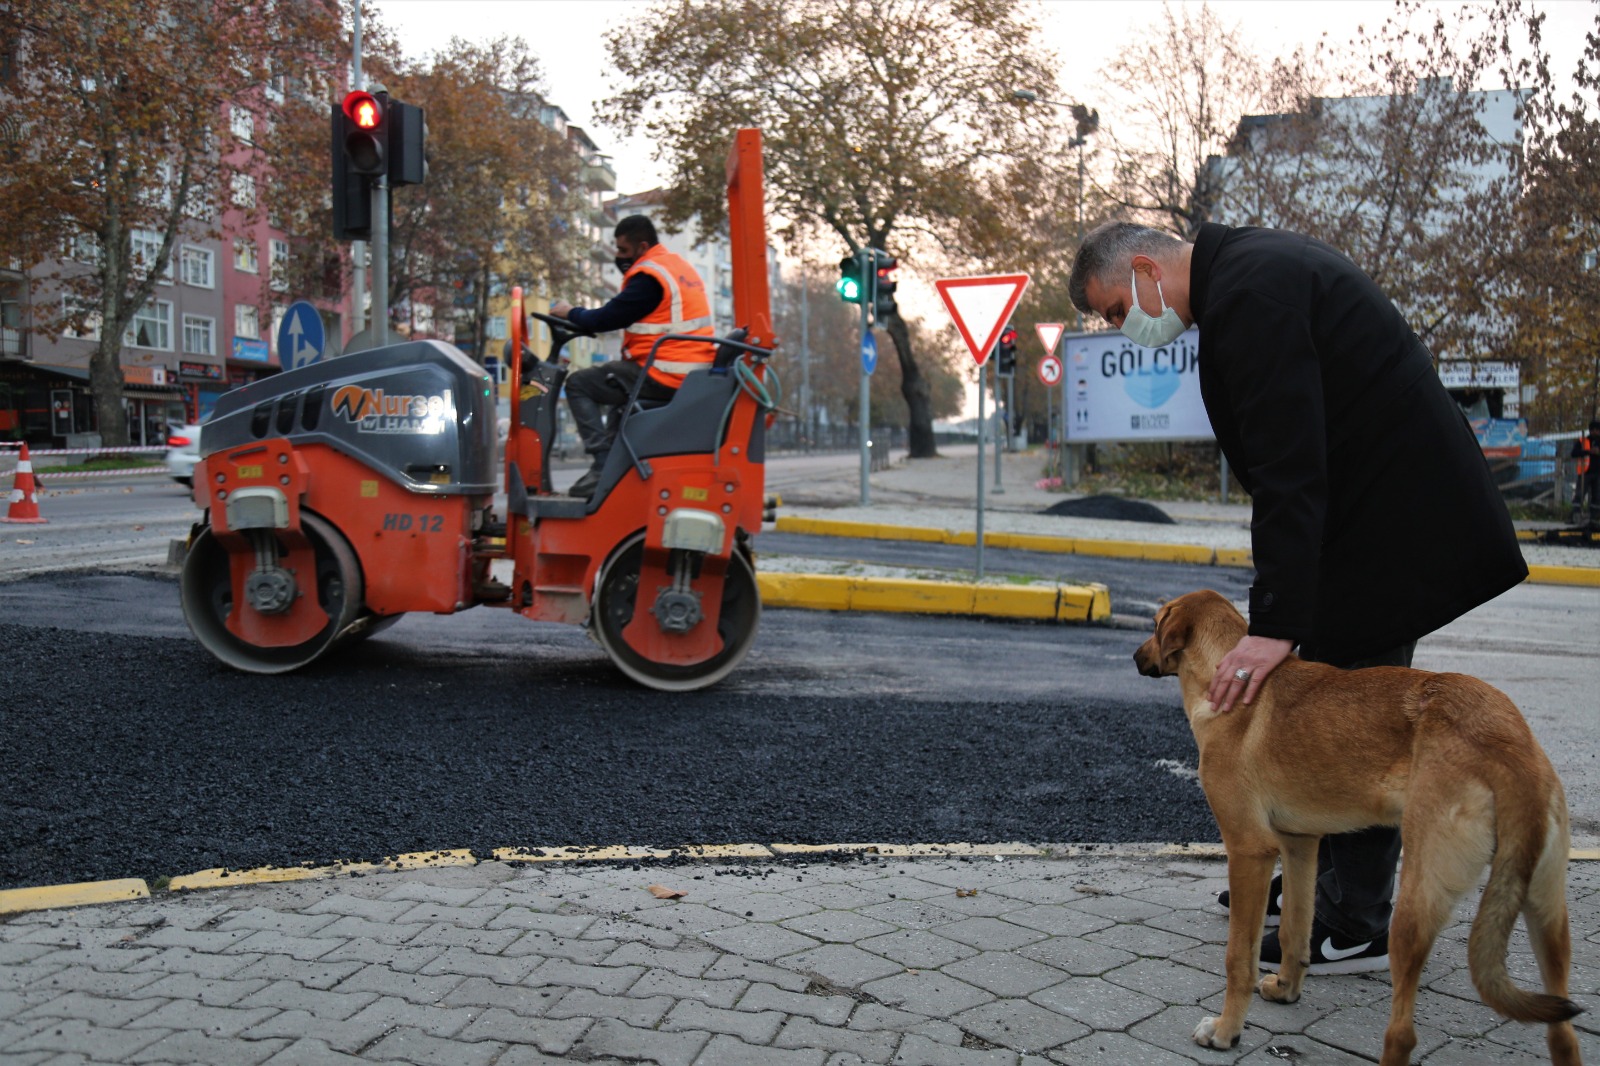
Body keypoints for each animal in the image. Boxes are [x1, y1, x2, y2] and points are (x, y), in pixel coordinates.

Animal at [1132, 589, 1580, 1062]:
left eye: (1156, 624)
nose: (1134, 657)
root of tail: (1508, 745)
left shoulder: (1249, 850)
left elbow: (1238, 957)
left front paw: (1226, 1030)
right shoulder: (1300, 845)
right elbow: (1294, 929)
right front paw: (1287, 988)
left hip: (1416, 907)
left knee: (1402, 1034)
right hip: (1547, 915)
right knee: (1563, 1034)